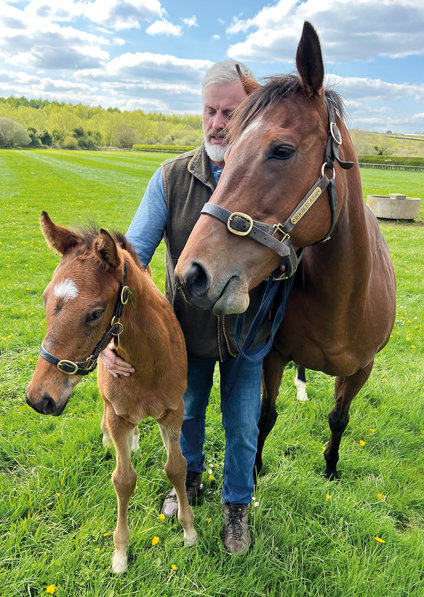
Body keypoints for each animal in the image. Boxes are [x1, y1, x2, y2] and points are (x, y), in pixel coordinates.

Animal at [26, 213, 197, 572]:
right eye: (46, 299)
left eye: (93, 313)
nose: (39, 399)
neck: (148, 363)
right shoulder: (118, 415)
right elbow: (123, 479)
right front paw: (120, 554)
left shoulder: (173, 412)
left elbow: (176, 467)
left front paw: (189, 532)